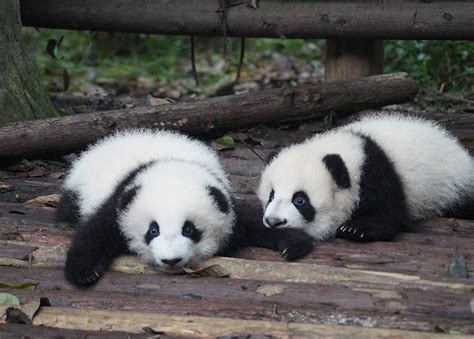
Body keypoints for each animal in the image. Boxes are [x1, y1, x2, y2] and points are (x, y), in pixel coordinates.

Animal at [57, 130, 239, 286]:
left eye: (188, 229)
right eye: (153, 230)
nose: (171, 260)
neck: (170, 166)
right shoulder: (122, 201)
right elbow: (97, 232)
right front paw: (84, 272)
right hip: (78, 190)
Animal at [258, 114, 472, 255]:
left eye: (300, 200)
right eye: (271, 195)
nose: (274, 222)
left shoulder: (377, 173)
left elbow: (389, 212)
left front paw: (355, 229)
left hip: (453, 184)